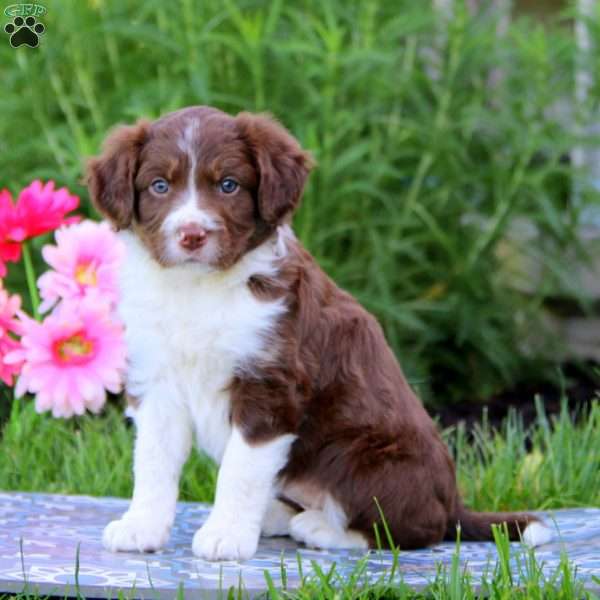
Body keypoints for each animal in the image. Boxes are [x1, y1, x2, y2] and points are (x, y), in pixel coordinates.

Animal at [86, 105, 552, 560]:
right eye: (159, 186)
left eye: (229, 185)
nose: (192, 235)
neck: (198, 290)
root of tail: (455, 505)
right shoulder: (157, 381)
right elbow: (152, 462)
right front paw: (141, 526)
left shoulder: (271, 387)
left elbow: (240, 470)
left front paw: (225, 536)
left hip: (365, 458)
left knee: (411, 529)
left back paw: (319, 527)